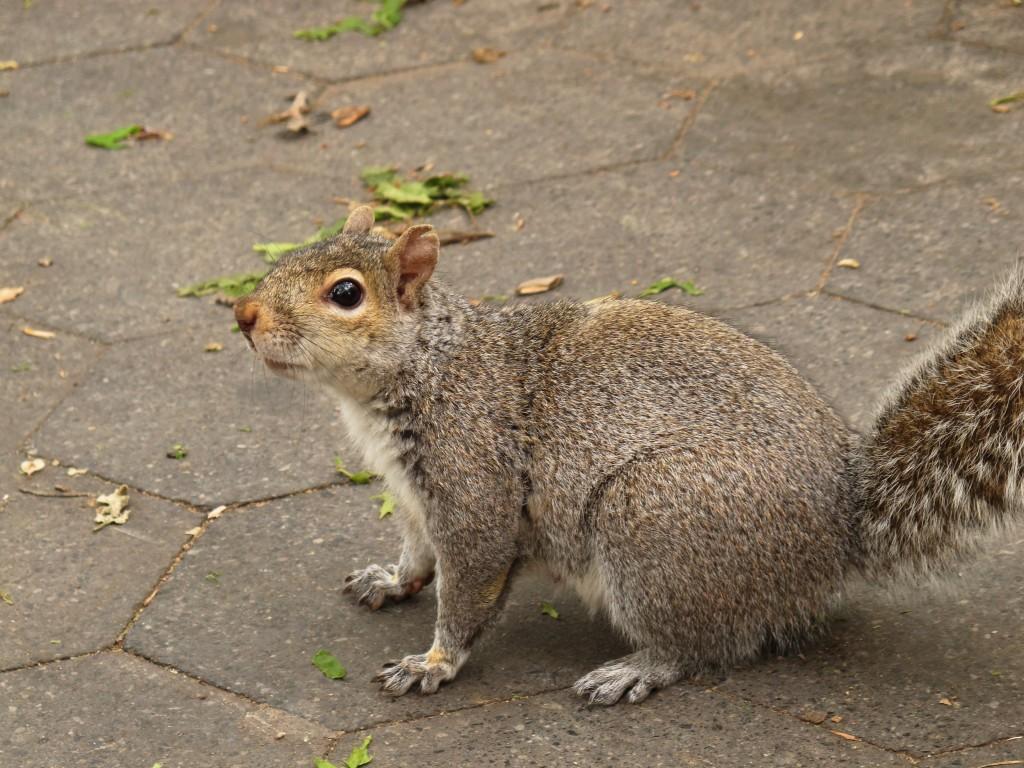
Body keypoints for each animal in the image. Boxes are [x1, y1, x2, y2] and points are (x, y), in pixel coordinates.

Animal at [235, 205, 1024, 708]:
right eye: (298, 250)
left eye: (345, 294)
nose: (243, 315)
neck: (423, 367)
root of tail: (839, 534)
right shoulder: (410, 493)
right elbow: (416, 554)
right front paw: (389, 580)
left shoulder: (473, 477)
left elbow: (469, 584)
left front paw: (433, 663)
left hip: (652, 522)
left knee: (703, 644)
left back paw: (633, 670)